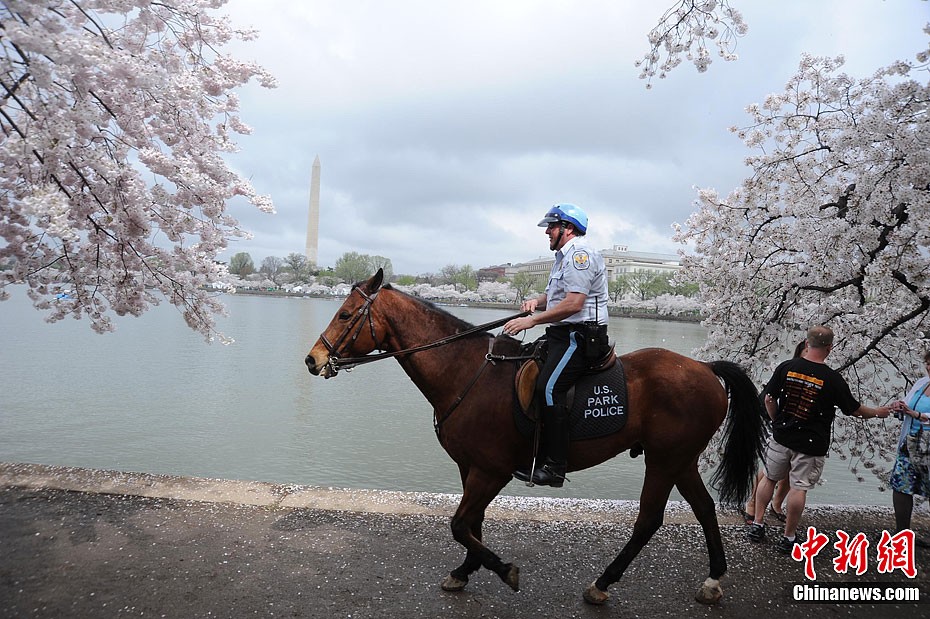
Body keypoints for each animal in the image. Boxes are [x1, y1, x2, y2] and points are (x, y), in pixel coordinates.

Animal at [302, 270, 760, 604]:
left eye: (346, 315)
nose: (312, 359)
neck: (467, 371)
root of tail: (706, 369)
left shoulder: (492, 470)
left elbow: (459, 524)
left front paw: (503, 569)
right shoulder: (471, 468)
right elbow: (472, 523)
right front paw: (465, 570)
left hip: (664, 460)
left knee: (648, 521)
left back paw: (603, 583)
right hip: (680, 460)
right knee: (704, 509)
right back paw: (713, 580)